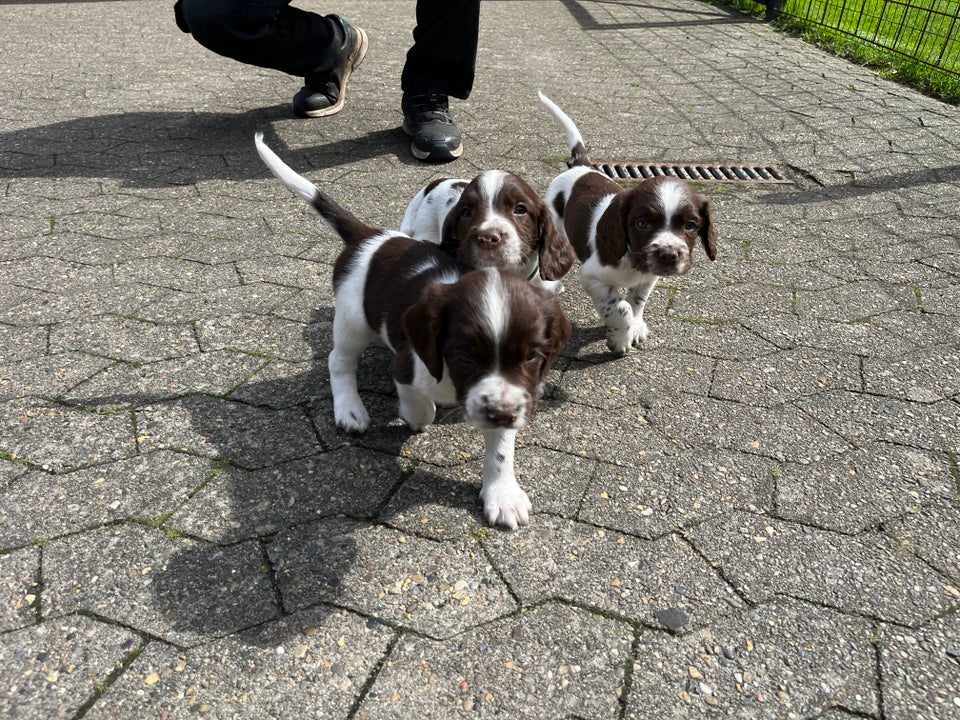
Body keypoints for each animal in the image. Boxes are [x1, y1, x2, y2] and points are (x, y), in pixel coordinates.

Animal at [536, 93, 716, 358]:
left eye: (691, 225)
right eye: (642, 223)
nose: (669, 255)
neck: (633, 261)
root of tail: (582, 166)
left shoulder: (648, 277)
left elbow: (637, 301)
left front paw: (637, 326)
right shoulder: (592, 277)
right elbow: (620, 308)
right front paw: (621, 337)